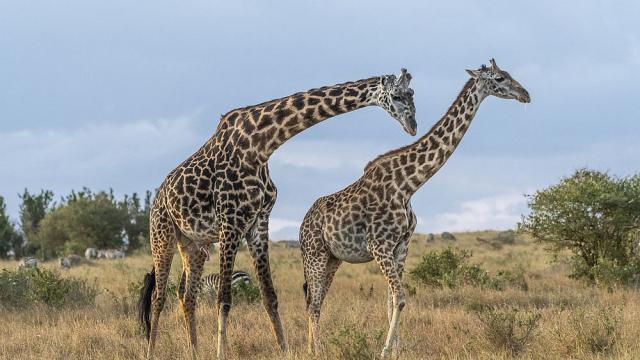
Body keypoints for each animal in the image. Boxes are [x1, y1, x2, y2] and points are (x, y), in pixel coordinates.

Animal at [138, 69, 418, 358]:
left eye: (412, 94)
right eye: (397, 96)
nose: (412, 125)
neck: (261, 145)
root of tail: (159, 196)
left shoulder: (259, 222)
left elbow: (269, 295)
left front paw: (284, 349)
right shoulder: (231, 222)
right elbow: (224, 298)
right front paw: (221, 352)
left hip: (193, 244)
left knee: (186, 294)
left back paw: (193, 350)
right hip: (162, 234)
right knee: (159, 296)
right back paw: (150, 351)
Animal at [300, 58, 528, 358]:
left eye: (509, 74)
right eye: (500, 78)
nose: (526, 94)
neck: (409, 184)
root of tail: (302, 224)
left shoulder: (400, 245)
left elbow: (391, 302)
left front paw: (397, 350)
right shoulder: (379, 245)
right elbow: (400, 298)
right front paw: (385, 351)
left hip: (332, 258)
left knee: (316, 300)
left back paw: (313, 347)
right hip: (314, 254)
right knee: (313, 302)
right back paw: (316, 350)